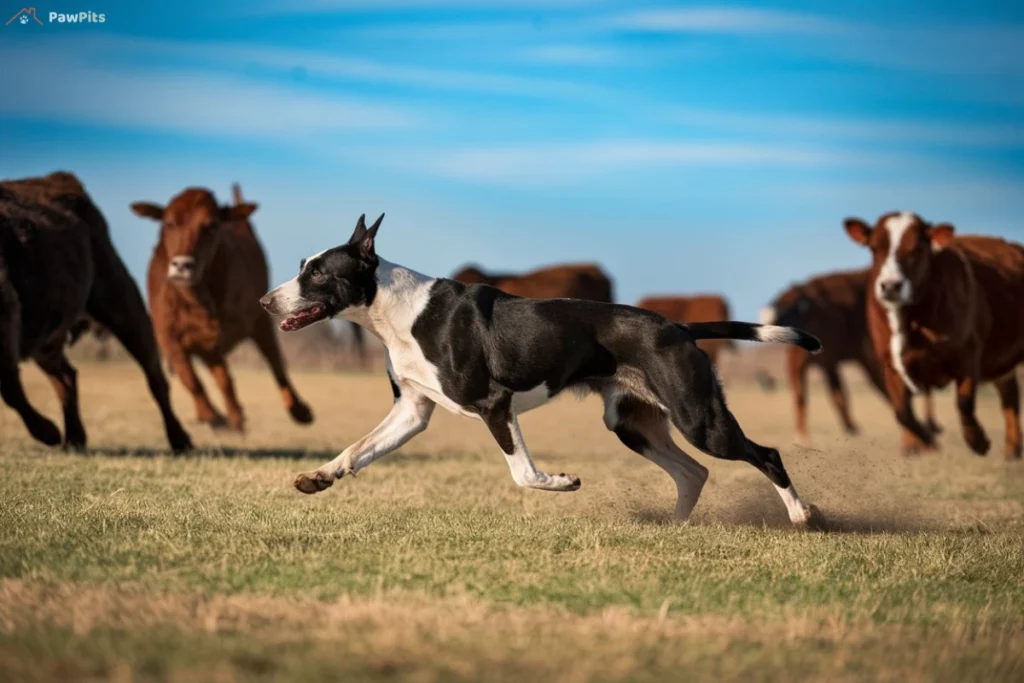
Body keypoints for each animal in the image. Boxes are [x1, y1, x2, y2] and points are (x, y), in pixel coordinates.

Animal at [0, 169, 192, 454]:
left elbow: (10, 388)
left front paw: (48, 431)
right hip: (46, 337)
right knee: (66, 377)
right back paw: (74, 438)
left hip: (123, 306)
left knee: (155, 378)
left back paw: (179, 438)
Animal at [134, 183, 313, 432]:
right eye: (169, 223)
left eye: (211, 225)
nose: (182, 266)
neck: (198, 300)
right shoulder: (166, 334)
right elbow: (191, 377)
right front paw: (212, 415)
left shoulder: (244, 323)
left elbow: (249, 370)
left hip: (256, 323)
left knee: (271, 361)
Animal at [262, 216, 823, 528]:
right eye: (302, 265)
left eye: (317, 273)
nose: (266, 301)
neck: (397, 311)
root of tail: (678, 327)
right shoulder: (413, 411)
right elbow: (357, 449)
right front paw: (319, 477)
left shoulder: (493, 404)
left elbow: (523, 473)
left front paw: (561, 481)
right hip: (632, 424)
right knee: (694, 472)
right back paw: (677, 526)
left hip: (698, 418)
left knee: (764, 454)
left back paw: (801, 515)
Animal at [843, 210, 1024, 462]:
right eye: (874, 248)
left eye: (918, 248)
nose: (890, 286)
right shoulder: (890, 363)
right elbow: (902, 412)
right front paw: (928, 442)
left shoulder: (967, 352)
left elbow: (964, 402)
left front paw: (978, 443)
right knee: (1010, 395)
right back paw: (1012, 451)